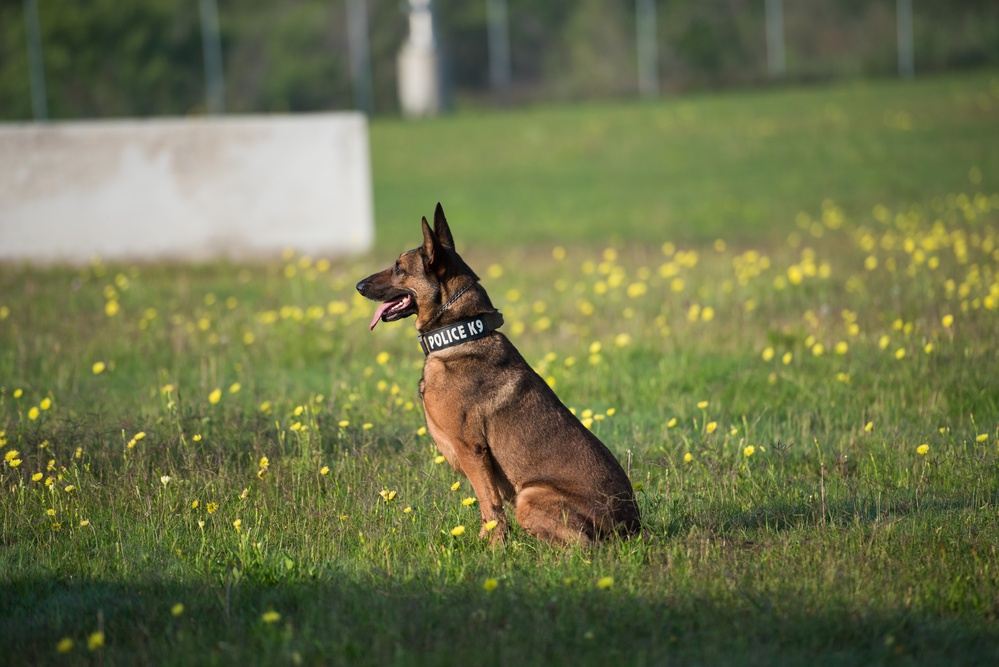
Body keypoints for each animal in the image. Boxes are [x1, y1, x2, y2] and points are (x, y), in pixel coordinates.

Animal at [358, 204, 640, 548]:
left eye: (399, 267)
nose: (358, 286)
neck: (460, 332)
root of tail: (632, 526)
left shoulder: (473, 450)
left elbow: (489, 505)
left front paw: (494, 547)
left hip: (529, 497)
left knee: (582, 545)